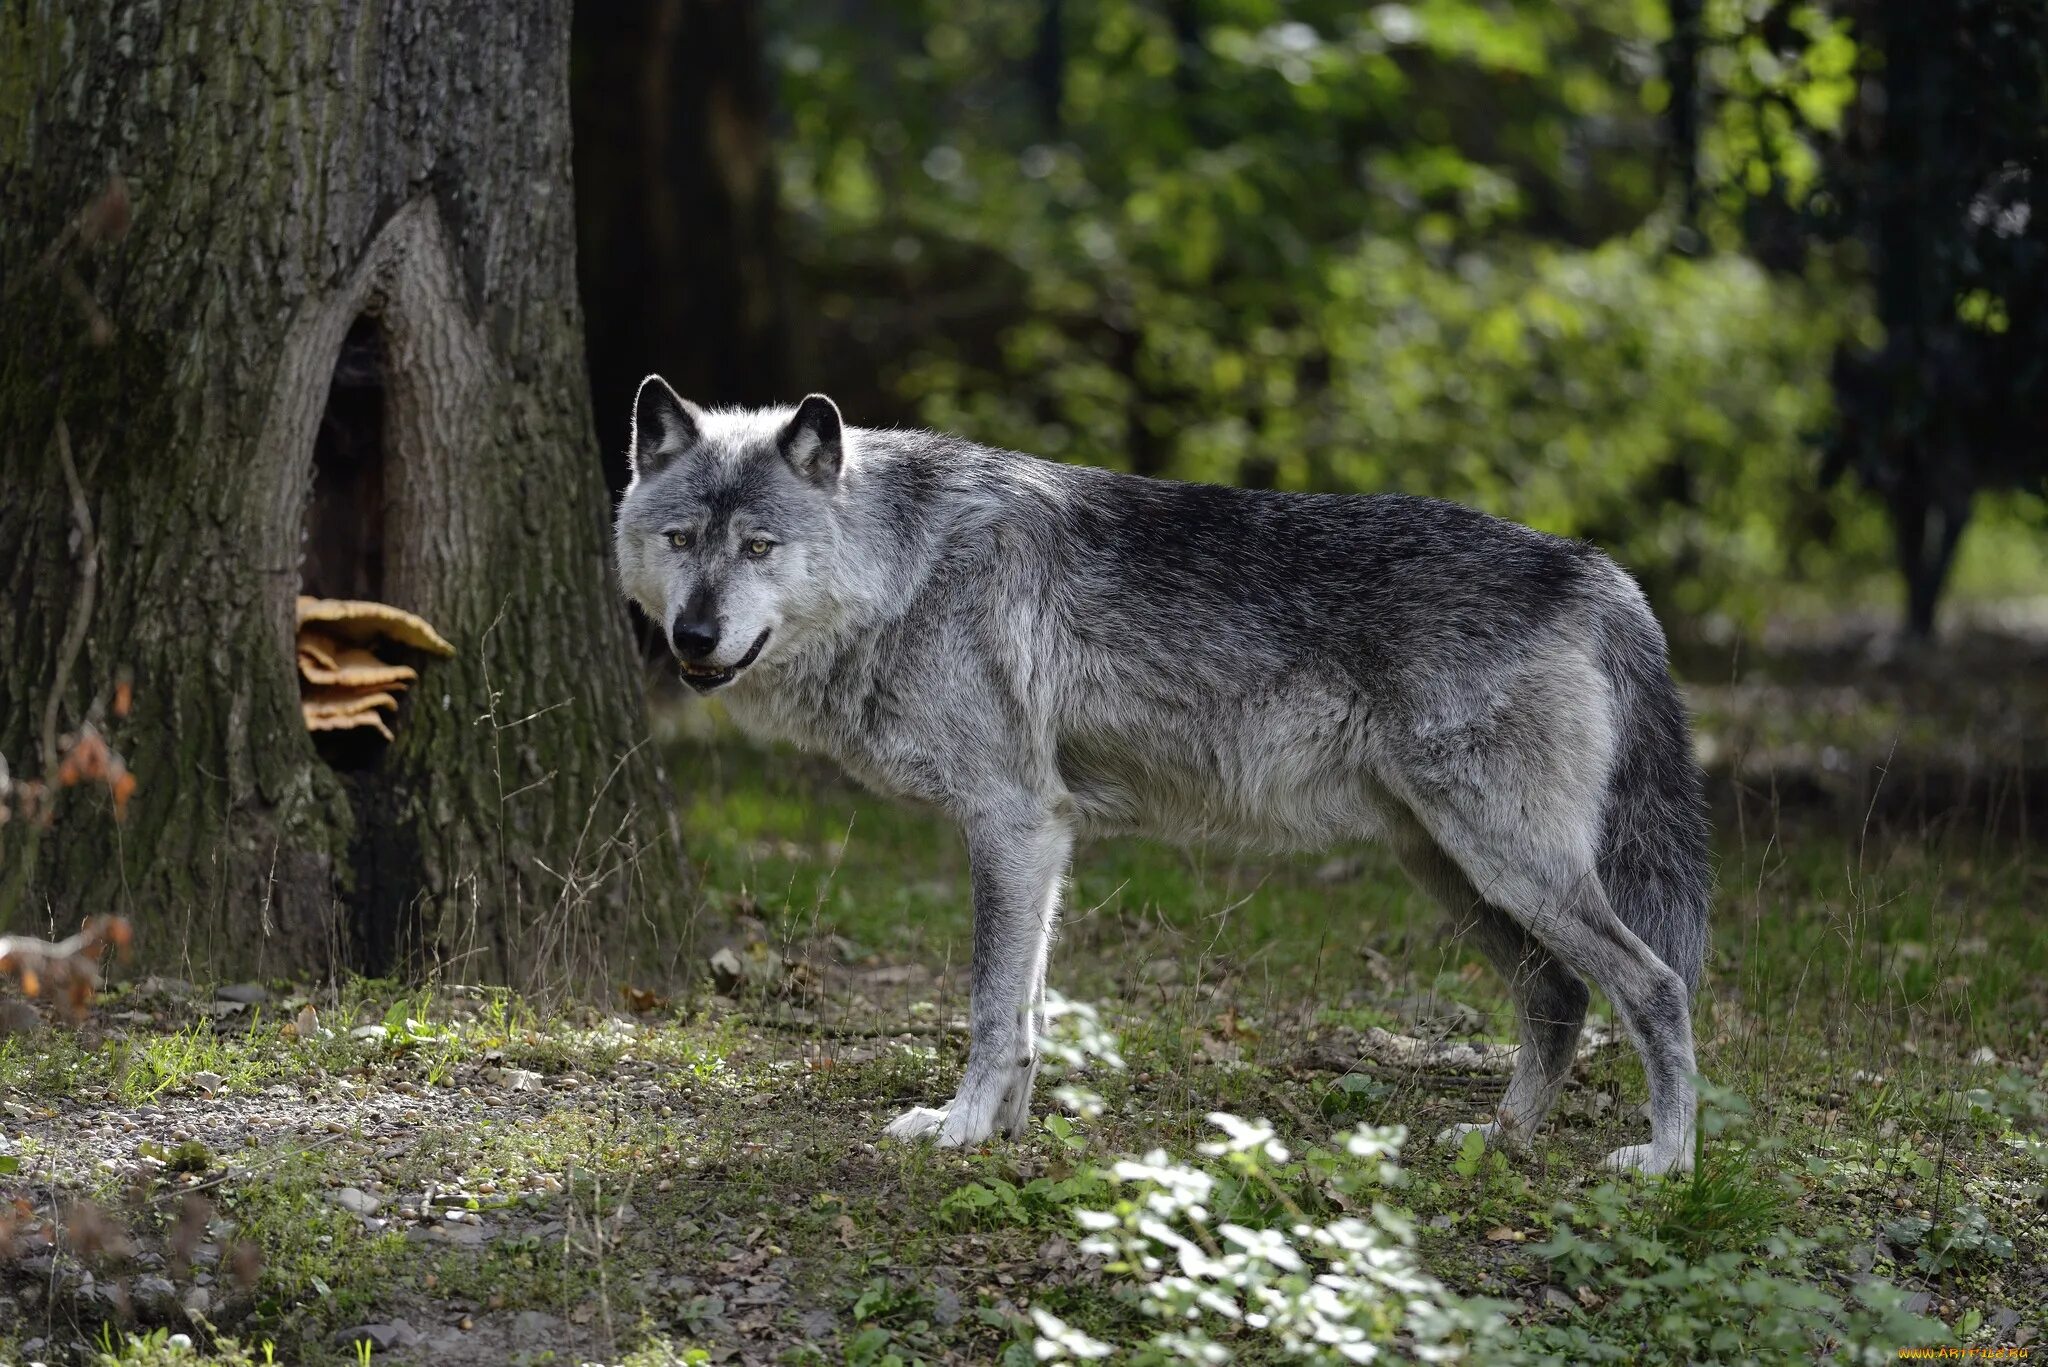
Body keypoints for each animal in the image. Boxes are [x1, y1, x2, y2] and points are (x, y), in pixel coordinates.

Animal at [606, 377, 1712, 1180]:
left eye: (759, 546)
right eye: (680, 540)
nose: (691, 636)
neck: (908, 571)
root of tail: (1598, 570)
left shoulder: (1010, 822)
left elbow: (987, 1005)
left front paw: (960, 1127)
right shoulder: (1042, 837)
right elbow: (1027, 1013)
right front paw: (1004, 1130)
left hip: (1506, 866)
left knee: (1653, 986)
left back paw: (1665, 1161)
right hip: (1453, 870)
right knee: (1557, 996)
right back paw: (1502, 1138)